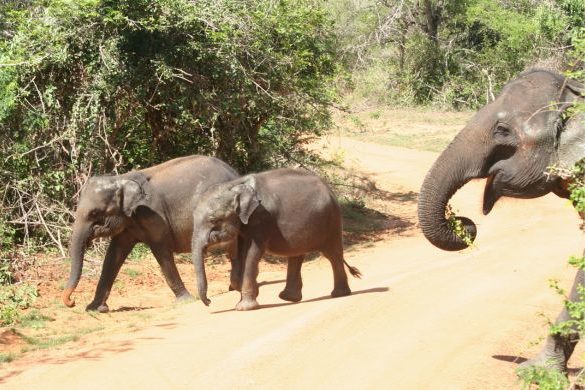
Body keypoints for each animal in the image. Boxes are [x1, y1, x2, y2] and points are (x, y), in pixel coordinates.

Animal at [62, 155, 238, 314]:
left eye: (94, 213)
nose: (72, 302)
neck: (121, 179)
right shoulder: (128, 223)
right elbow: (113, 256)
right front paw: (95, 308)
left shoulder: (152, 216)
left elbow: (161, 251)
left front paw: (184, 301)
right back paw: (232, 287)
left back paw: (233, 287)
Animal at [190, 168, 360, 310]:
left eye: (213, 220)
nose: (209, 302)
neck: (236, 184)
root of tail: (330, 190)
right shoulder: (245, 225)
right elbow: (240, 253)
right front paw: (248, 292)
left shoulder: (261, 220)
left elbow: (251, 254)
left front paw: (245, 307)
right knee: (297, 255)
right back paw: (289, 298)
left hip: (332, 220)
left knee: (332, 255)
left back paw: (339, 294)